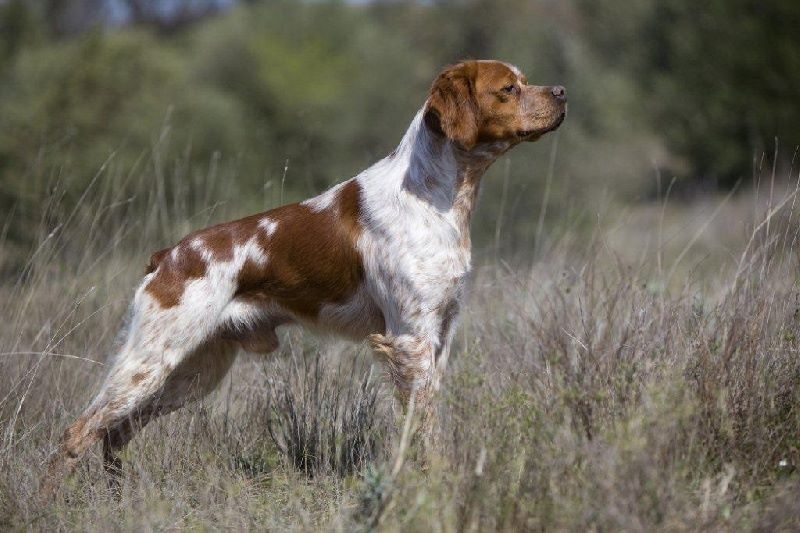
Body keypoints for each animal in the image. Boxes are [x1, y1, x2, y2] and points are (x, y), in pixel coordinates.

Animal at [40, 59, 566, 493]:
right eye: (509, 88)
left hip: (192, 371)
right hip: (151, 361)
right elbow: (423, 428)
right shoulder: (409, 338)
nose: (562, 91)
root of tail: (168, 255)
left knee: (114, 433)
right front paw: (432, 483)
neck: (434, 195)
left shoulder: (440, 333)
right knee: (78, 432)